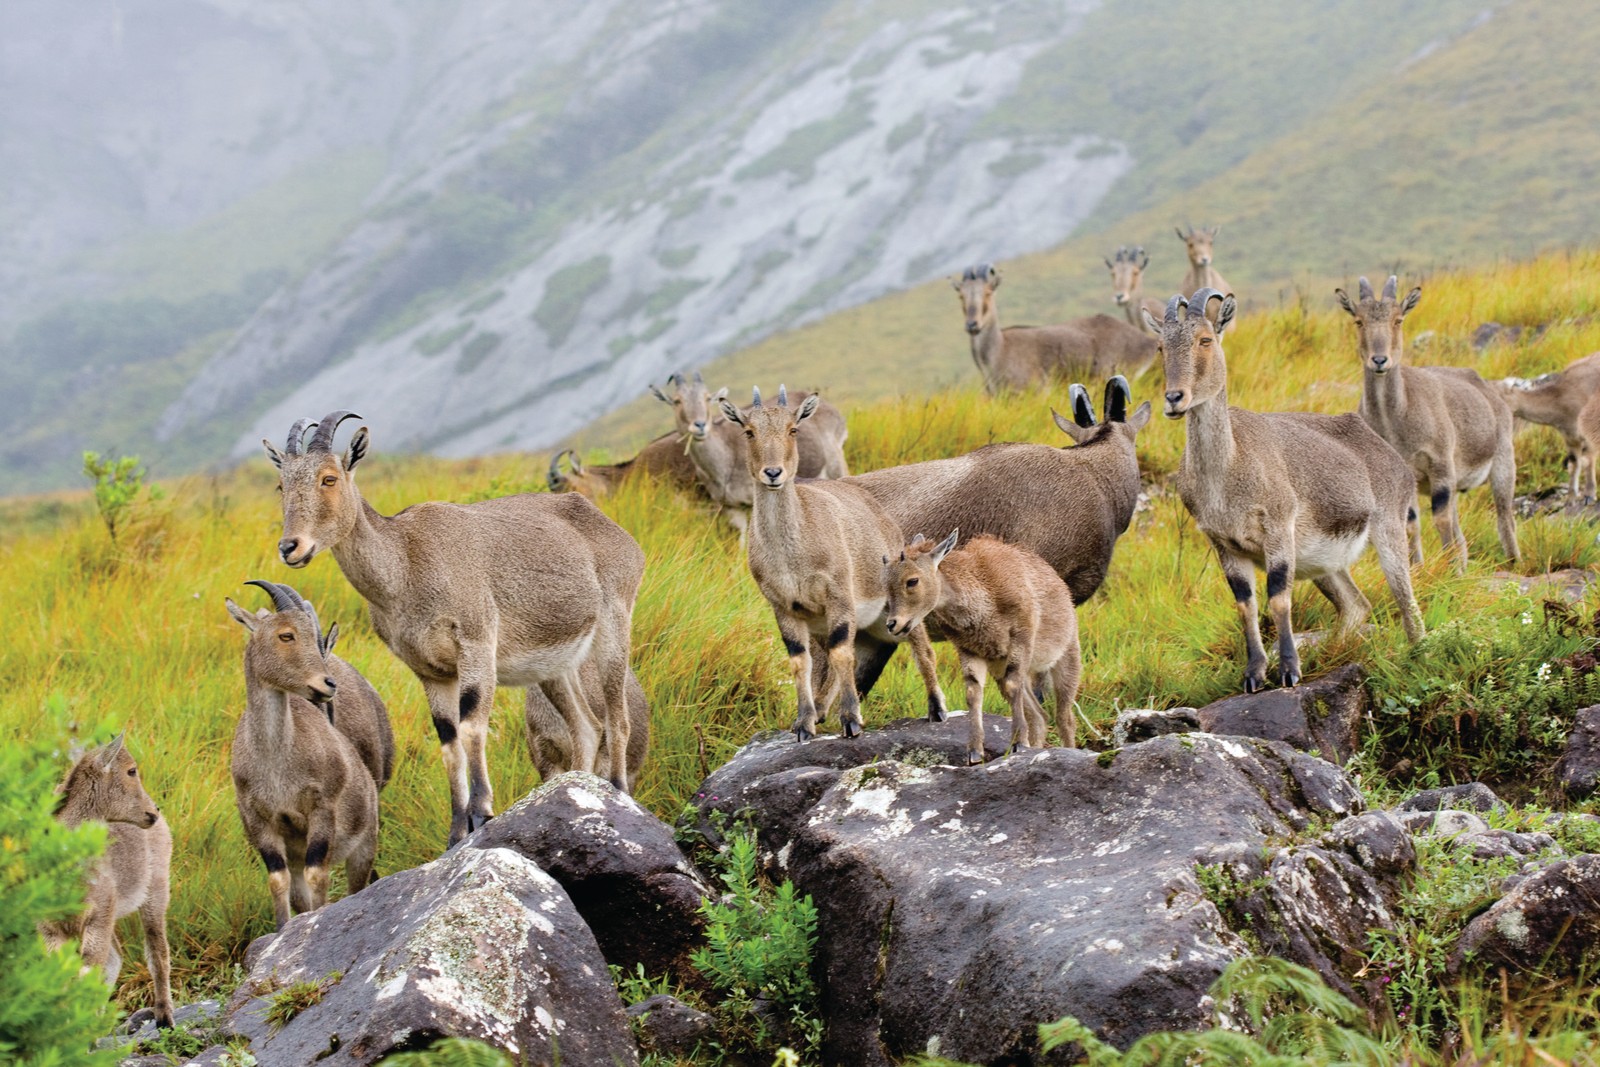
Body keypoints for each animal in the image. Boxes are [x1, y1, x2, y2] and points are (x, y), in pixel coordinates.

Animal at [264, 412, 643, 844]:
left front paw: (483, 811)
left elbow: (472, 726)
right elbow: (448, 741)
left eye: (329, 478)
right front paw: (457, 830)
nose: (290, 547)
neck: (405, 566)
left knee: (616, 717)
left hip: (614, 625)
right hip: (554, 666)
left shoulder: (475, 642)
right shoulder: (429, 670)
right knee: (586, 726)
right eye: (282, 483)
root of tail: (620, 535)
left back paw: (618, 791)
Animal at [1152, 289, 1427, 694]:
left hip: (1388, 527)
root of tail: (1391, 456)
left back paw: (1416, 653)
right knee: (1356, 605)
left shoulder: (1278, 527)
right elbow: (1245, 605)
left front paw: (1289, 671)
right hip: (1321, 560)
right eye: (1161, 346)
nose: (1174, 398)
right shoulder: (1224, 544)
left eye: (1205, 339)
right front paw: (1253, 673)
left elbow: (1279, 599)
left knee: (1406, 602)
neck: (1227, 470)